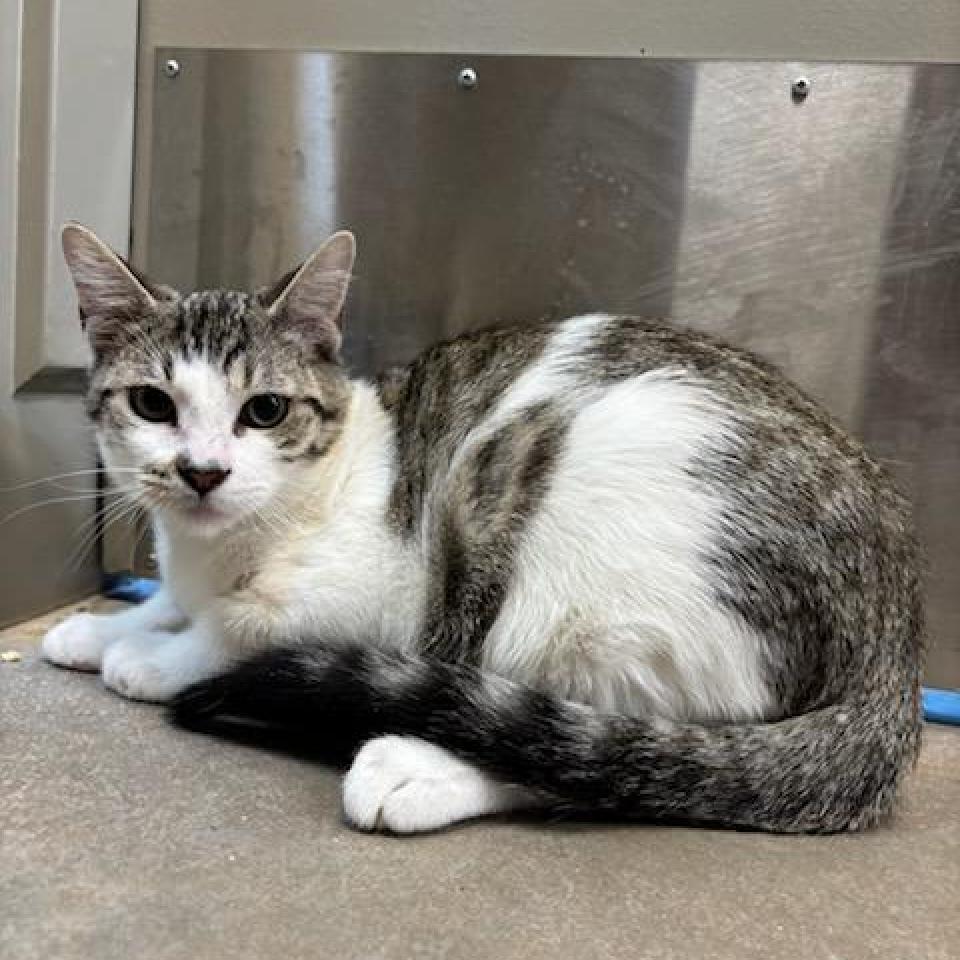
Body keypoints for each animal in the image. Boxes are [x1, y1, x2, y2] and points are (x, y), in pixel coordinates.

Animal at [43, 223, 924, 832]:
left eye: (264, 410)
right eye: (153, 404)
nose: (202, 471)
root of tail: (897, 647)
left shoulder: (375, 590)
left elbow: (243, 623)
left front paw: (156, 657)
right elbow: (172, 597)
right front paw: (107, 625)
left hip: (564, 521)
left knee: (607, 751)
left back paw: (415, 770)